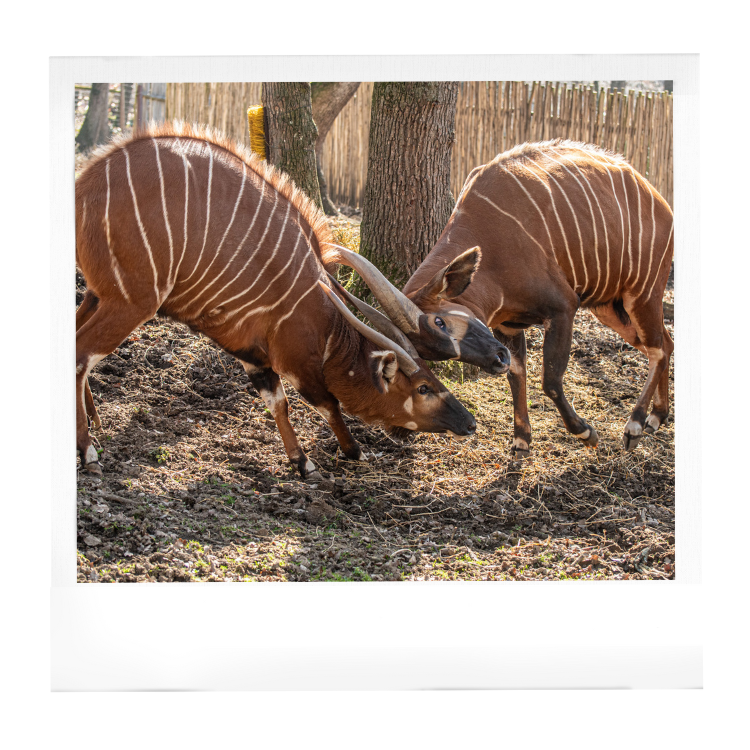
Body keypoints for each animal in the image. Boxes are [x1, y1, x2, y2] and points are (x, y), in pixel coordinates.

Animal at [76, 120, 476, 478]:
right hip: (130, 302)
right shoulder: (294, 360)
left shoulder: (252, 354)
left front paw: (301, 462)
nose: (469, 422)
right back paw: (88, 453)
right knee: (81, 355)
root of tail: (84, 183)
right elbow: (327, 404)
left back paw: (93, 426)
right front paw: (351, 452)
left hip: (98, 295)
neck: (323, 315)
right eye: (423, 387)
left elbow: (277, 403)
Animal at [352, 141, 676, 458]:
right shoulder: (507, 326)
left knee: (657, 348)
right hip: (609, 308)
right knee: (664, 341)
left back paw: (635, 425)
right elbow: (517, 376)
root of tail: (659, 200)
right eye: (429, 353)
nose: (497, 361)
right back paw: (657, 417)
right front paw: (521, 442)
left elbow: (551, 381)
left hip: (642, 295)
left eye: (439, 322)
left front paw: (585, 432)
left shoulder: (563, 309)